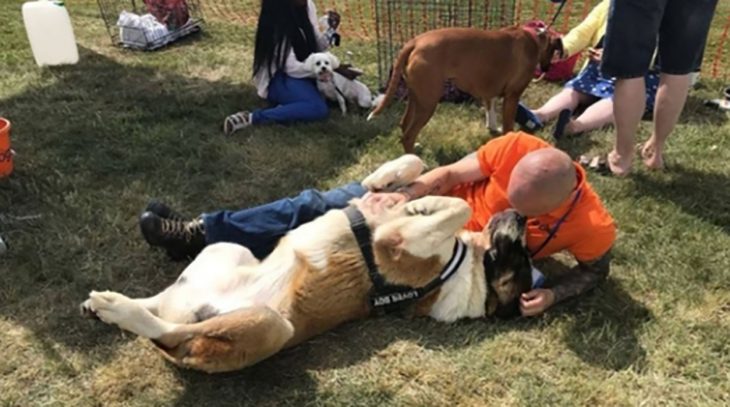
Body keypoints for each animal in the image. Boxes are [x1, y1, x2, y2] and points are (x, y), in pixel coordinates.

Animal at [81, 155, 528, 372]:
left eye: (519, 255)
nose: (520, 215)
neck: (469, 267)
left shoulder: (402, 249)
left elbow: (453, 207)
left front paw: (422, 205)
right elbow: (414, 164)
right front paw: (396, 184)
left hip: (271, 325)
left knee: (169, 329)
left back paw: (116, 309)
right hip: (227, 251)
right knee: (162, 302)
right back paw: (107, 303)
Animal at [366, 25, 560, 153]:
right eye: (553, 52)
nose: (546, 68)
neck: (534, 38)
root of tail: (415, 42)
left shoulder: (489, 93)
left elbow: (491, 113)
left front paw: (493, 129)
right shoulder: (512, 97)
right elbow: (508, 126)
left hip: (416, 97)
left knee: (404, 124)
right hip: (429, 103)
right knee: (408, 135)